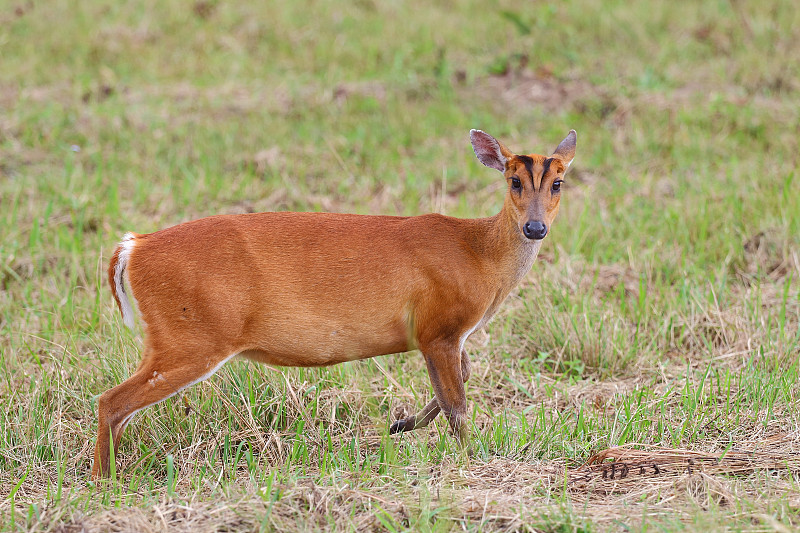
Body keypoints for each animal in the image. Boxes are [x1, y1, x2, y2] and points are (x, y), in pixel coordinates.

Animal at [94, 129, 576, 478]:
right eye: (514, 181)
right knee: (111, 401)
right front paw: (473, 458)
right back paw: (105, 480)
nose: (535, 228)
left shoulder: (443, 335)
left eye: (558, 183)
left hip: (173, 339)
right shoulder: (439, 329)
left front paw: (400, 424)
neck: (478, 254)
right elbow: (457, 404)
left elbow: (459, 382)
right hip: (191, 337)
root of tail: (132, 247)